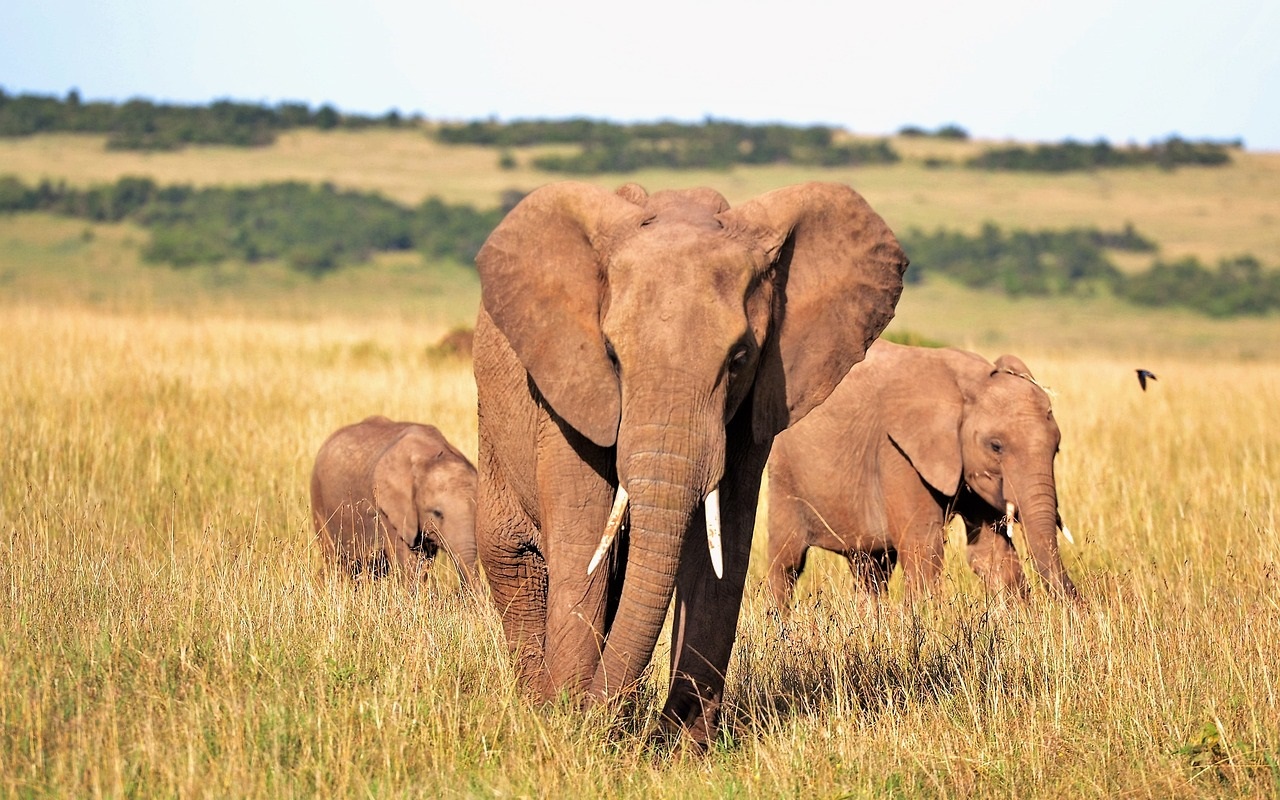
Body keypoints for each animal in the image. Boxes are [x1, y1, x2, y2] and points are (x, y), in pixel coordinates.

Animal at [312, 414, 481, 588]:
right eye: (437, 513)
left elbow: (423, 561)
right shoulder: (387, 510)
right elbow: (407, 560)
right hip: (318, 499)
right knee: (334, 560)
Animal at [473, 180, 911, 742]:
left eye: (740, 358)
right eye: (611, 355)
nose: (594, 714)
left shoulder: (755, 405)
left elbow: (722, 548)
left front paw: (681, 743)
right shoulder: (568, 390)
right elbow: (583, 538)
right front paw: (567, 722)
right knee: (515, 559)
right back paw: (537, 702)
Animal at [762, 340, 1075, 609]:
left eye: (1057, 448)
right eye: (995, 446)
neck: (969, 384)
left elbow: (990, 554)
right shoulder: (897, 452)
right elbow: (924, 547)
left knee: (871, 567)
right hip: (784, 473)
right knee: (787, 563)